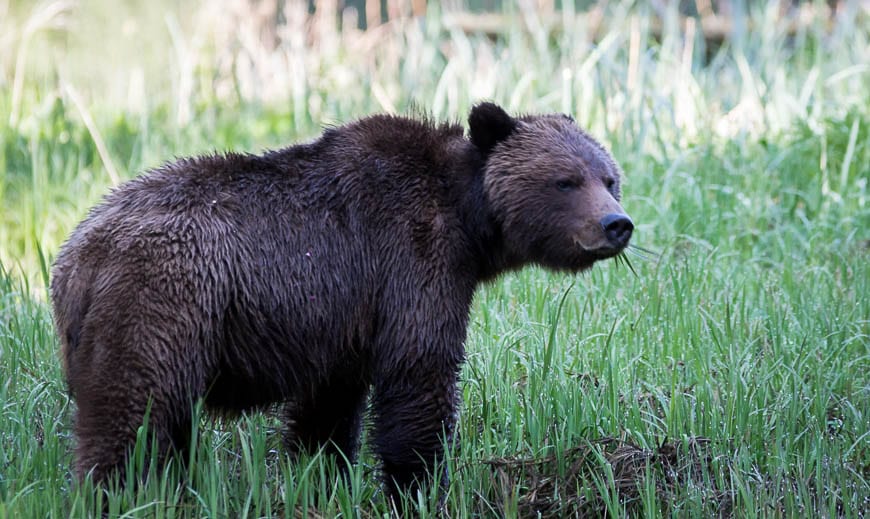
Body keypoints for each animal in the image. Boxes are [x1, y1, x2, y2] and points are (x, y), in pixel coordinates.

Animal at [52, 102, 632, 504]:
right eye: (565, 180)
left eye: (609, 178)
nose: (616, 224)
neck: (470, 222)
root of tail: (75, 259)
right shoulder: (411, 261)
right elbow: (418, 377)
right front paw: (419, 486)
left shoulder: (341, 316)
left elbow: (327, 412)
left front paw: (320, 478)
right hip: (163, 301)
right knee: (132, 415)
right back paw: (112, 493)